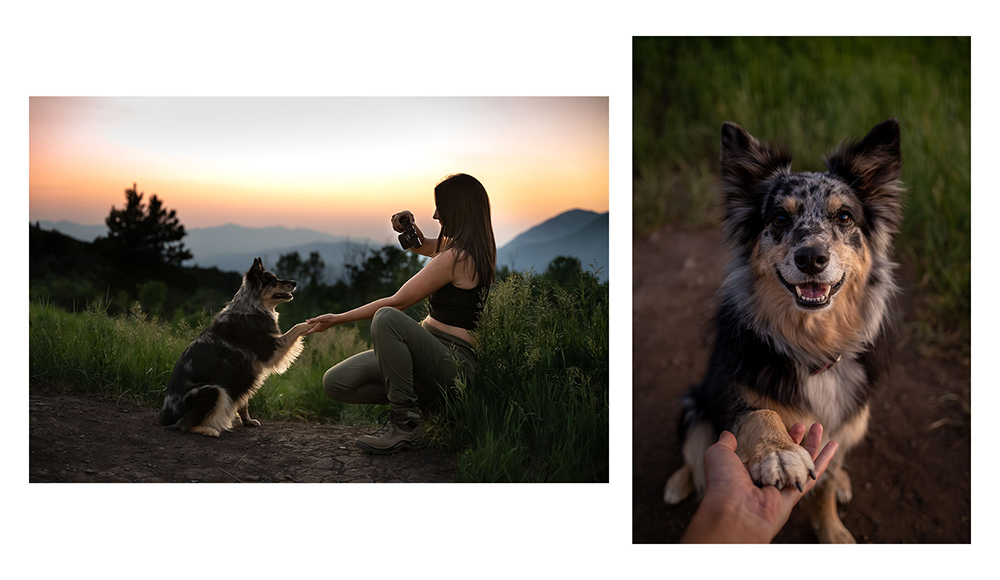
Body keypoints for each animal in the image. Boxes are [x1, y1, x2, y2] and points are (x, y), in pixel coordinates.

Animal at [158, 256, 314, 438]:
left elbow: (243, 402)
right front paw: (312, 324)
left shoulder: (243, 376)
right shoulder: (272, 350)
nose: (295, 282)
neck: (253, 306)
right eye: (273, 281)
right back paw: (208, 429)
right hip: (213, 390)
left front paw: (248, 421)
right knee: (185, 425)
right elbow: (296, 327)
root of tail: (164, 419)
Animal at [664, 119, 908, 544]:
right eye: (779, 219)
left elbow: (825, 483)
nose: (811, 258)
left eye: (844, 217)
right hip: (695, 403)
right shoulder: (731, 396)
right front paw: (779, 454)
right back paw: (679, 483)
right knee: (694, 454)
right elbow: (760, 413)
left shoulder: (843, 424)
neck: (811, 343)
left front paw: (832, 530)